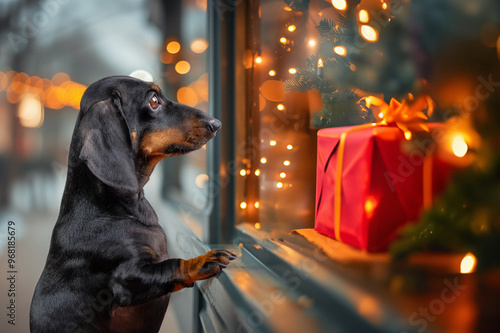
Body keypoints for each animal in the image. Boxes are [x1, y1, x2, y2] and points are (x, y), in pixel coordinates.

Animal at [29, 76, 236, 332]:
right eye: (154, 101)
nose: (216, 123)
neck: (111, 209)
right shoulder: (126, 279)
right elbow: (172, 266)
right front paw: (201, 261)